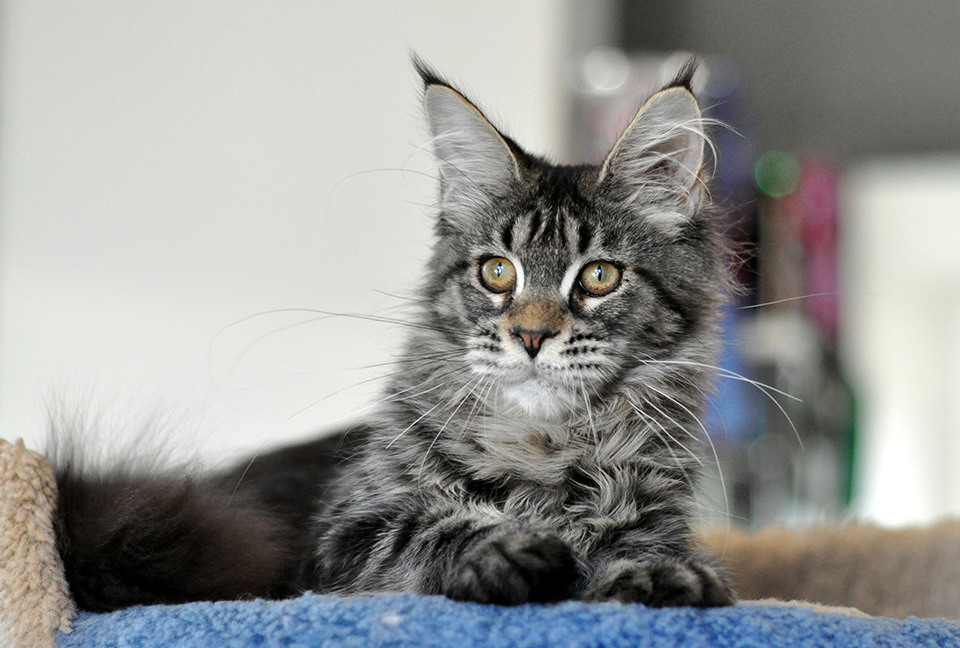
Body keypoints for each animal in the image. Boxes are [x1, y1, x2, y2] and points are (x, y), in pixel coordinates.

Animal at [52, 58, 736, 612]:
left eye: (599, 277)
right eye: (497, 272)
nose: (531, 336)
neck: (542, 450)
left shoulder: (659, 513)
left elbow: (648, 549)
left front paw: (660, 575)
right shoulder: (342, 535)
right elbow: (432, 529)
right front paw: (508, 549)